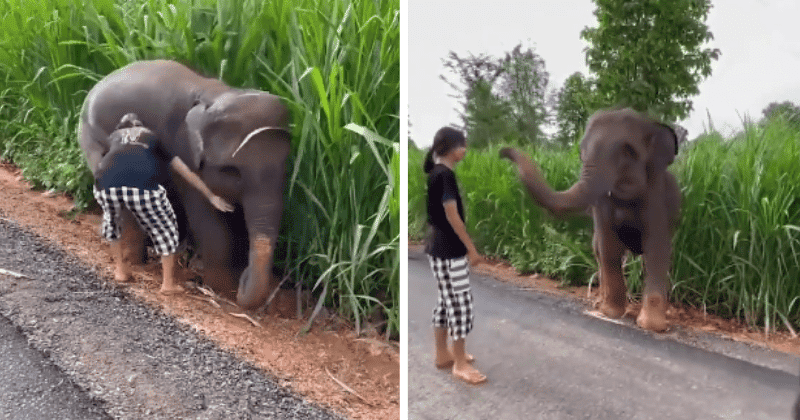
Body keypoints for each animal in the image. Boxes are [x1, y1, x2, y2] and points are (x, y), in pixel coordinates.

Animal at [77, 58, 290, 308]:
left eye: (286, 167)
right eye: (232, 171)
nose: (243, 281)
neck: (218, 94)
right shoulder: (184, 152)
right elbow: (208, 223)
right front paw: (221, 290)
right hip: (91, 140)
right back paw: (133, 264)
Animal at [500, 107, 680, 332]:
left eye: (628, 151)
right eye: (580, 152)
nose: (501, 152)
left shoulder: (657, 197)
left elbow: (656, 249)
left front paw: (651, 325)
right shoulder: (602, 206)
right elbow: (609, 247)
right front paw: (610, 313)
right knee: (599, 252)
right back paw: (598, 304)